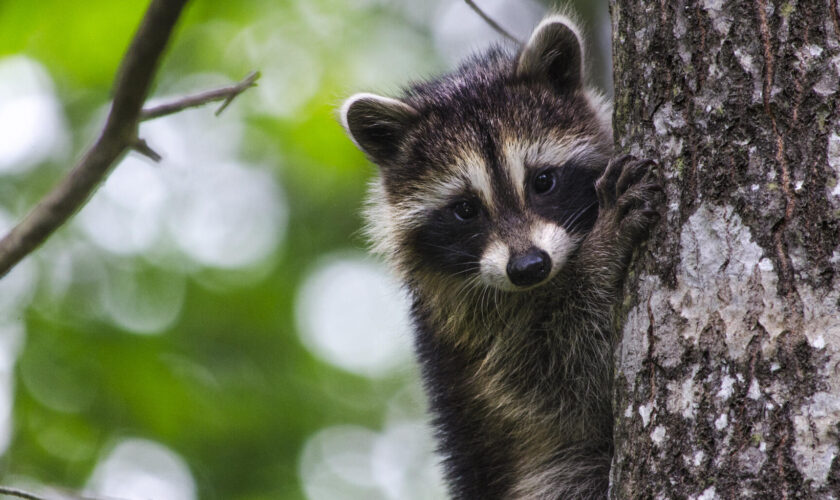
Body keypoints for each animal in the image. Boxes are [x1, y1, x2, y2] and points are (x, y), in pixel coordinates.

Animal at [342, 13, 664, 498]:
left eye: (543, 181)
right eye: (465, 209)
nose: (529, 268)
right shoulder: (479, 334)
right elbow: (569, 379)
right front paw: (600, 253)